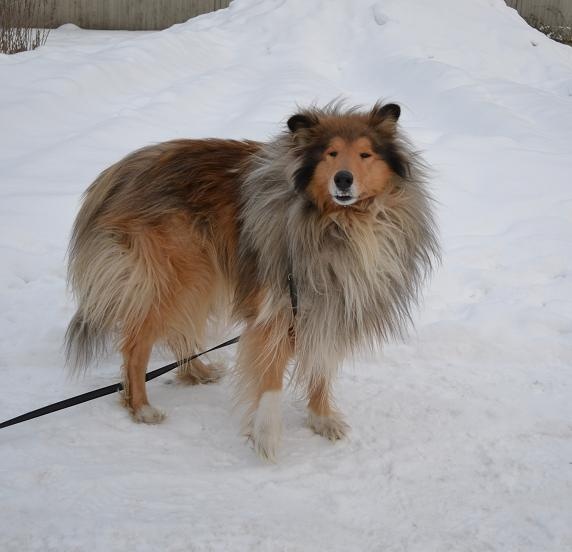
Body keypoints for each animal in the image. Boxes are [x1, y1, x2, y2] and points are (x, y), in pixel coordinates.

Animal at [65, 101, 439, 460]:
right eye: (331, 153)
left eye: (365, 154)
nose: (343, 180)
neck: (339, 222)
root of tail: (119, 173)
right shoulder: (278, 307)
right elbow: (270, 374)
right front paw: (267, 435)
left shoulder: (330, 303)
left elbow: (321, 364)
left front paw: (321, 418)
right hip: (178, 273)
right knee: (136, 343)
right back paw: (141, 407)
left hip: (203, 275)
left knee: (177, 329)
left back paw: (197, 371)